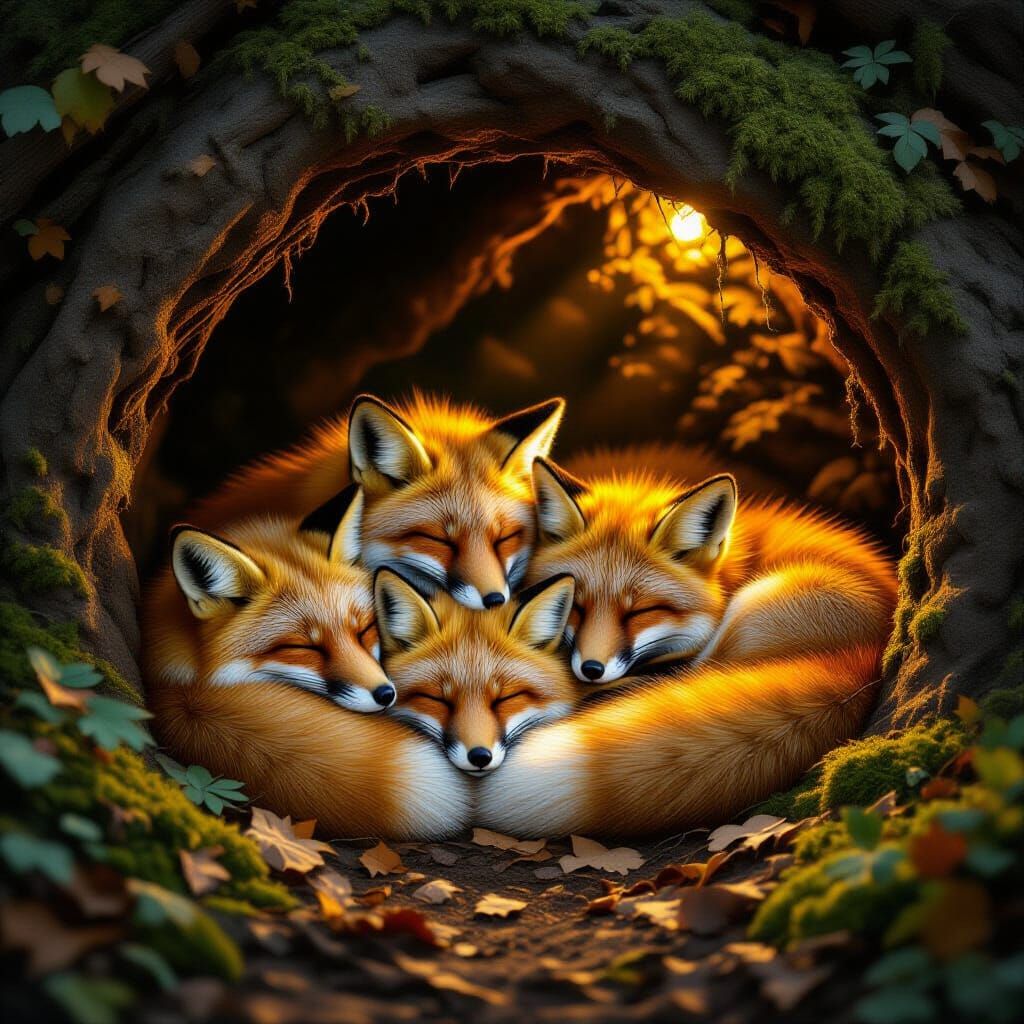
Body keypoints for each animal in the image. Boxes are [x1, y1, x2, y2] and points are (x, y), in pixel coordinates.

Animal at [528, 445, 897, 685]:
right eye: (576, 606)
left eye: (641, 611)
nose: (591, 670)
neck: (733, 573)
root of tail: (867, 659)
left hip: (752, 610)